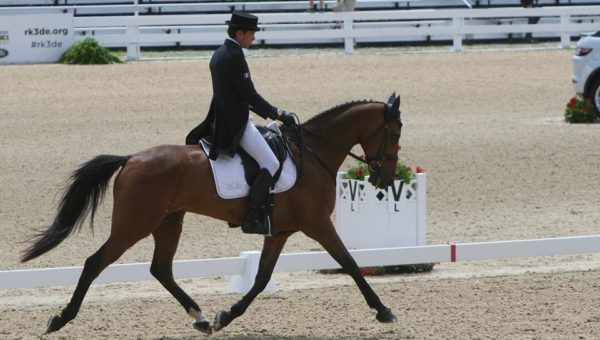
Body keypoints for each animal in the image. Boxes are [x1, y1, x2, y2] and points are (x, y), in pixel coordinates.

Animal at [21, 93, 404, 334]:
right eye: (396, 132)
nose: (383, 179)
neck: (312, 153)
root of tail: (130, 159)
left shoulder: (279, 232)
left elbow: (261, 279)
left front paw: (226, 316)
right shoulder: (318, 224)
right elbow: (350, 263)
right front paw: (384, 310)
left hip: (168, 222)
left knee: (161, 269)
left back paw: (202, 318)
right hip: (134, 226)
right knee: (95, 263)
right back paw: (61, 319)